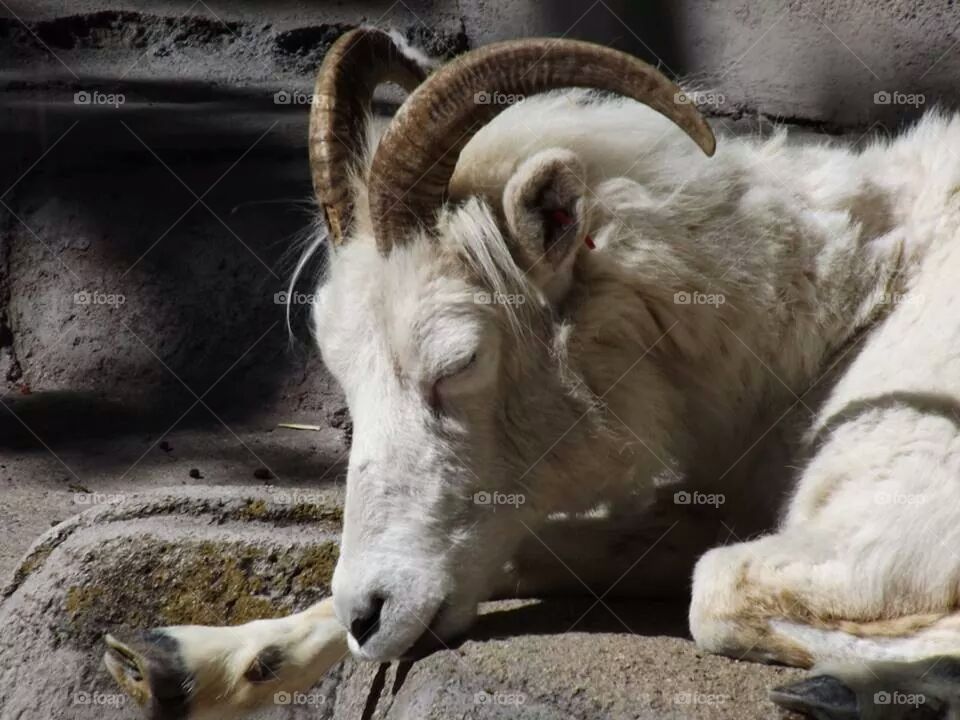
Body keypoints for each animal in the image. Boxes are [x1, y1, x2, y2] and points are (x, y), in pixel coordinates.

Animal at [104, 27, 960, 719]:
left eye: (459, 361)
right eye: (343, 376)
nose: (369, 614)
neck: (855, 299)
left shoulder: (893, 530)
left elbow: (712, 593)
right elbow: (538, 546)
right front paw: (177, 663)